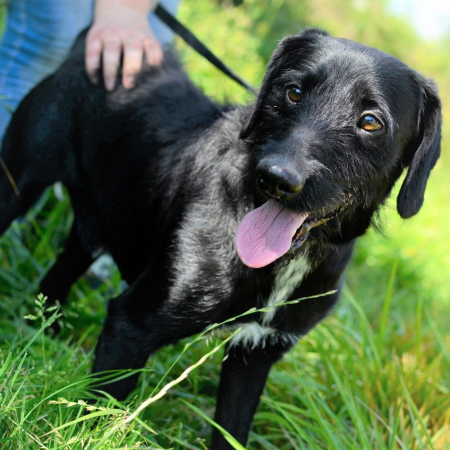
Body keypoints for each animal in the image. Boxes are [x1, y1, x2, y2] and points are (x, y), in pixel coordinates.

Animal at [0, 28, 441, 449]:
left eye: (371, 121)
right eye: (293, 91)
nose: (276, 178)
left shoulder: (254, 356)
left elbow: (231, 432)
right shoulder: (129, 325)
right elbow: (97, 417)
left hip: (94, 228)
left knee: (56, 277)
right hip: (18, 185)